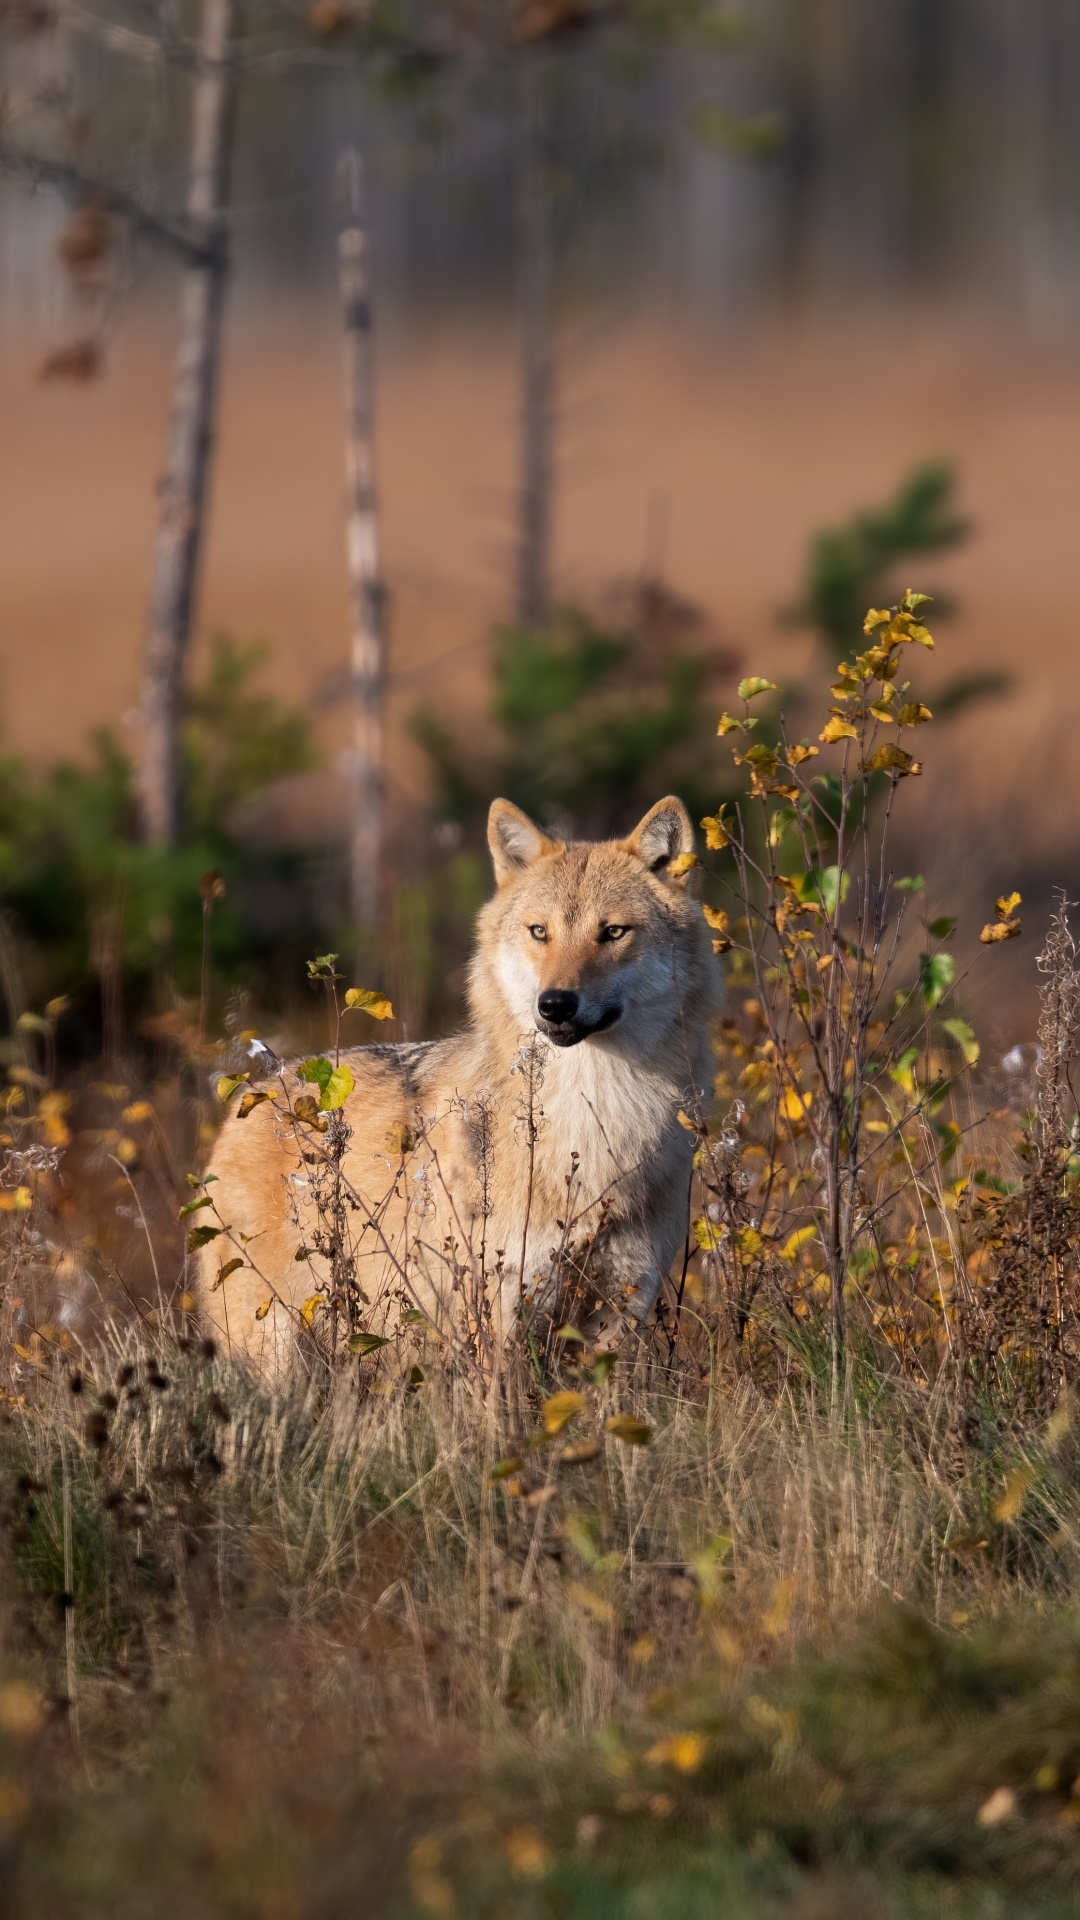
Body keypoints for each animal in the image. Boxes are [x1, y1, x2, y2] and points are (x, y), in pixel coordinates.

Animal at [194, 796, 718, 1377]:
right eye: (540, 932)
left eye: (614, 933)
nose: (555, 1004)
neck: (593, 1114)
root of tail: (259, 1090)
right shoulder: (498, 1316)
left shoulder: (618, 1318)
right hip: (276, 1348)